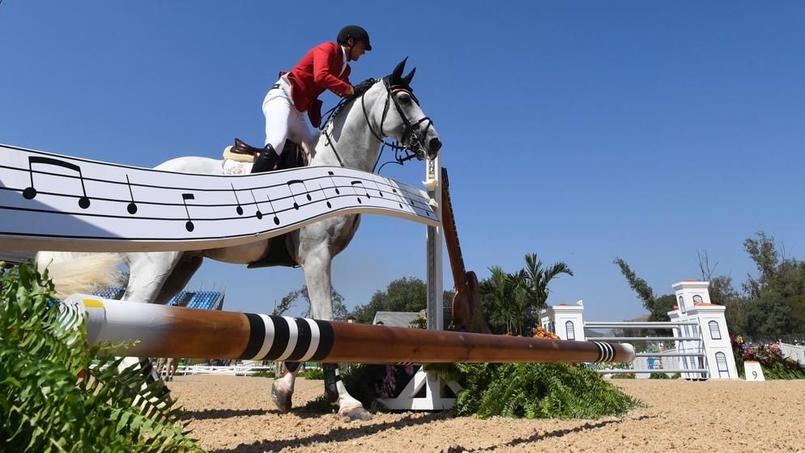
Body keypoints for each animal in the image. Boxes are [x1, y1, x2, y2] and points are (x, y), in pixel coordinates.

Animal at [36, 60, 440, 420]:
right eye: (405, 99)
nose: (435, 143)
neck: (335, 171)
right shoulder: (317, 256)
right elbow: (326, 323)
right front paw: (346, 401)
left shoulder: (316, 261)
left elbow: (311, 328)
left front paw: (283, 391)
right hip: (157, 263)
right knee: (130, 316)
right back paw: (138, 398)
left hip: (181, 268)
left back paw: (149, 392)